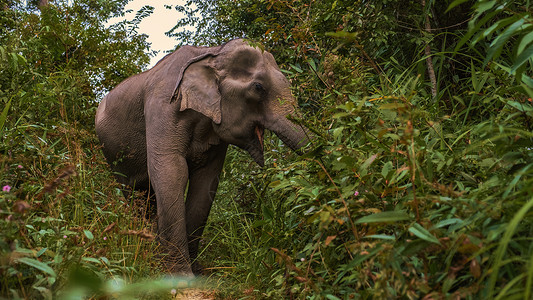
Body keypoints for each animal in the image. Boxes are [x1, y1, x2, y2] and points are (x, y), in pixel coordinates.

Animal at [95, 38, 310, 276]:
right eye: (258, 87)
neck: (212, 54)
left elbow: (206, 181)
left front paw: (197, 271)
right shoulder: (163, 107)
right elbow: (172, 171)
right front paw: (180, 274)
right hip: (113, 156)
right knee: (134, 194)